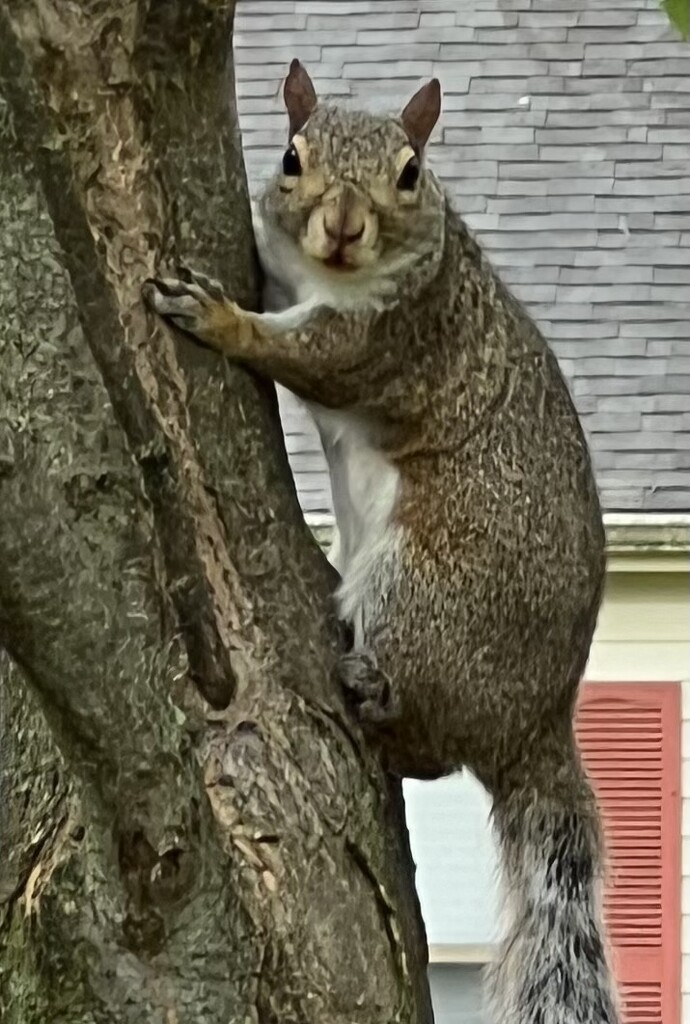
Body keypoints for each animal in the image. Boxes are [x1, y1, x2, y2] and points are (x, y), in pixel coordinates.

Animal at [143, 61, 618, 1024]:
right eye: (293, 156)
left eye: (410, 173)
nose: (342, 226)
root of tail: (538, 723)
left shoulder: (389, 338)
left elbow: (309, 357)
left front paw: (217, 318)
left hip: (418, 595)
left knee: (433, 744)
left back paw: (377, 702)